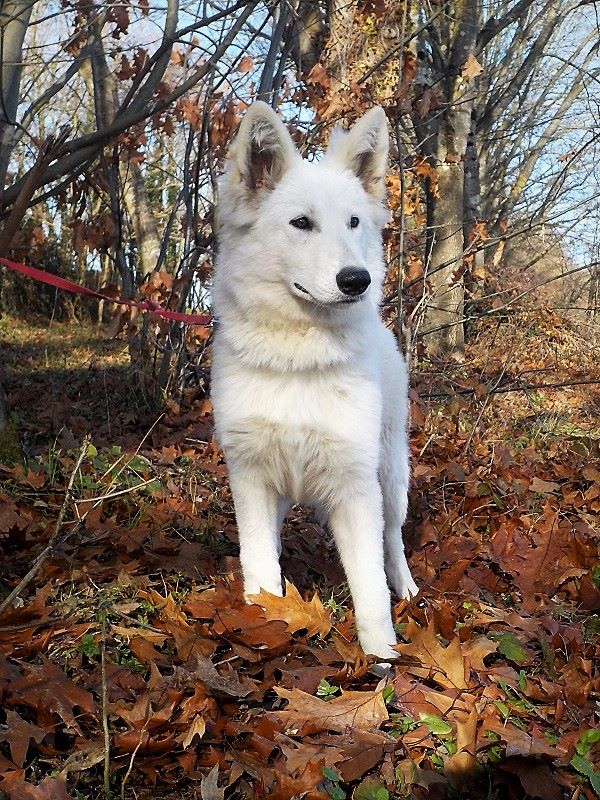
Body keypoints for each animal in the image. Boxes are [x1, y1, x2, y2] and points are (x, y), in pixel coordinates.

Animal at [211, 103, 418, 660]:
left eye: (353, 222)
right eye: (301, 223)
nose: (357, 280)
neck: (298, 360)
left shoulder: (356, 484)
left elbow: (369, 584)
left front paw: (382, 660)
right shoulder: (252, 477)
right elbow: (259, 561)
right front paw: (262, 617)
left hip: (391, 475)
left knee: (392, 538)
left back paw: (407, 586)